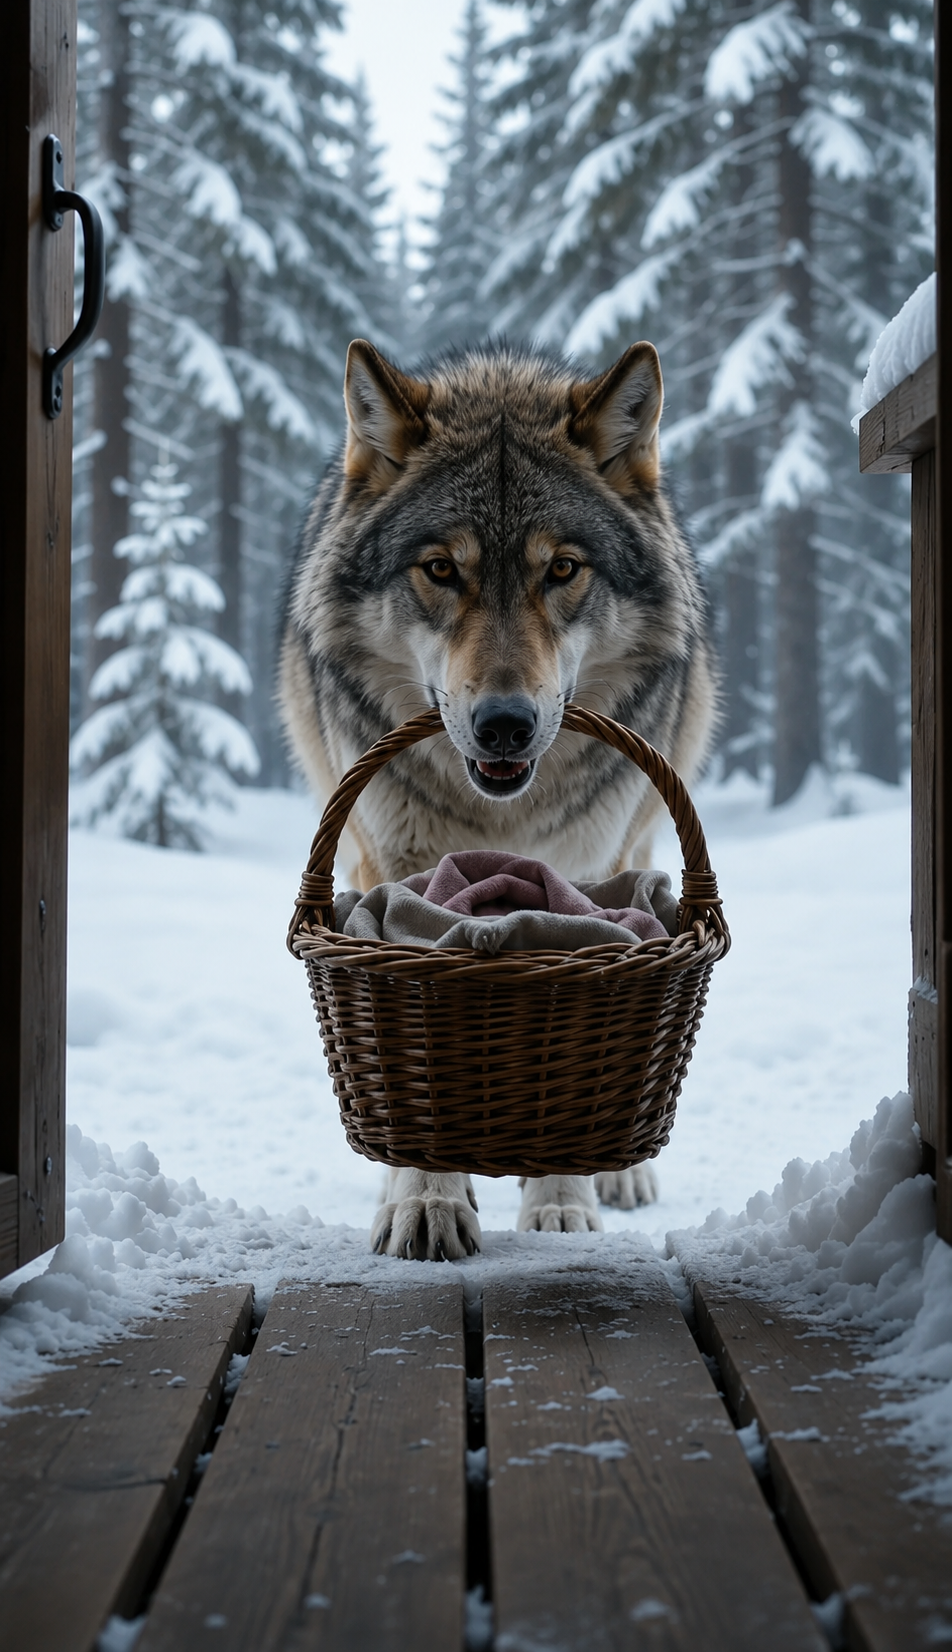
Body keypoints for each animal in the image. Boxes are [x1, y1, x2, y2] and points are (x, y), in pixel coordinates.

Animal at [279, 338, 717, 1260]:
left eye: (563, 569)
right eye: (442, 570)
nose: (506, 725)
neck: (499, 816)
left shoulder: (584, 877)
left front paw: (561, 1203)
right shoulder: (396, 872)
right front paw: (425, 1200)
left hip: (641, 829)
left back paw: (620, 1175)